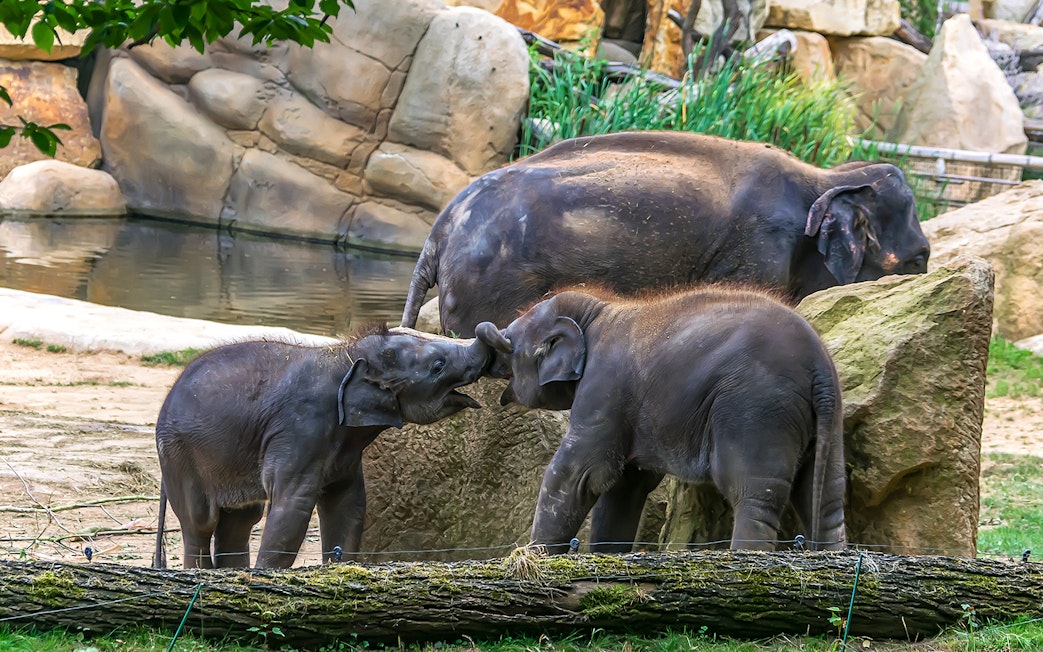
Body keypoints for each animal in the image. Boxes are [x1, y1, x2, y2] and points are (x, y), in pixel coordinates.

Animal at [152, 326, 491, 569]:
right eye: (438, 366)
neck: (345, 354)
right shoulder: (301, 429)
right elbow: (292, 507)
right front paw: (267, 576)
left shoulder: (344, 449)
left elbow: (348, 505)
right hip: (179, 454)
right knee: (200, 522)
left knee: (241, 519)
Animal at [402, 130, 931, 337]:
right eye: (919, 261)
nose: (922, 262)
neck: (826, 176)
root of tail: (437, 233)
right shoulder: (761, 246)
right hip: (490, 283)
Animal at [475, 286, 847, 553]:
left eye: (509, 344)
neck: (596, 312)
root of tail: (818, 365)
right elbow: (625, 485)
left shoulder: (604, 388)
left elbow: (580, 473)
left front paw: (529, 559)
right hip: (826, 419)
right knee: (826, 499)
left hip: (757, 409)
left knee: (753, 494)